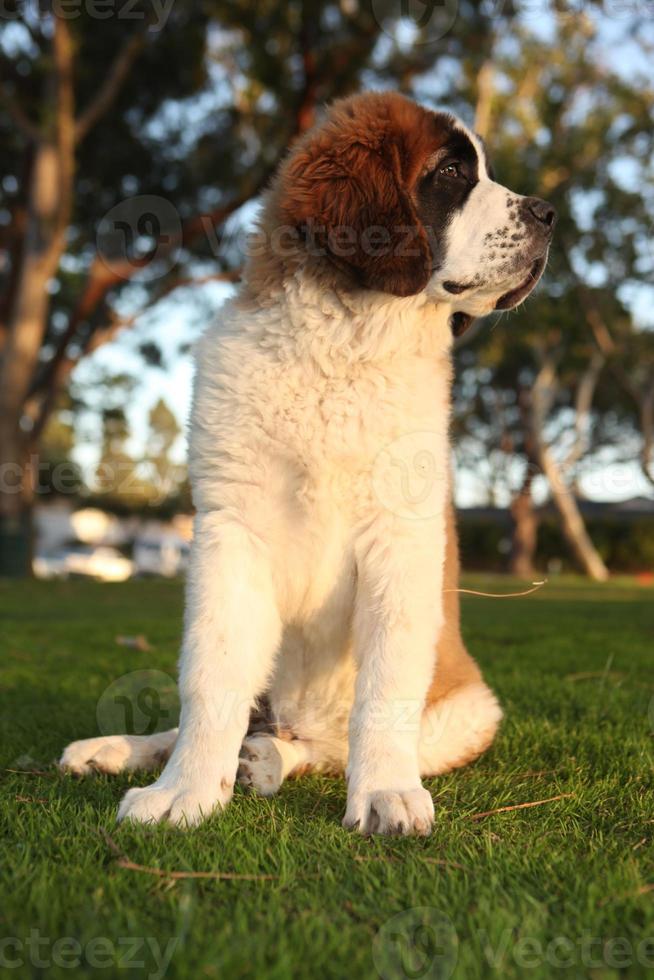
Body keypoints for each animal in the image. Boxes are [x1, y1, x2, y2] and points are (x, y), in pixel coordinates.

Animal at [62, 90, 560, 836]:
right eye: (449, 173)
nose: (549, 214)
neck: (344, 344)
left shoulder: (401, 542)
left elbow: (385, 688)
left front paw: (384, 791)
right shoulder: (231, 535)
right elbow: (209, 675)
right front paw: (184, 790)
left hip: (470, 712)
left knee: (323, 744)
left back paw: (269, 759)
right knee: (239, 713)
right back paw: (126, 749)